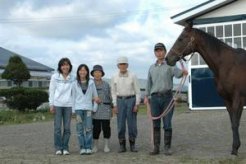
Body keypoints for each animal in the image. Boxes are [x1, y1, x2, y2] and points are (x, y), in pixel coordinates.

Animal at [165, 24, 246, 155]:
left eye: (181, 38)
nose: (168, 59)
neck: (228, 65)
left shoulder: (237, 99)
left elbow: (235, 123)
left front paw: (236, 148)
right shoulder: (227, 100)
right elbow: (233, 123)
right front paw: (235, 148)